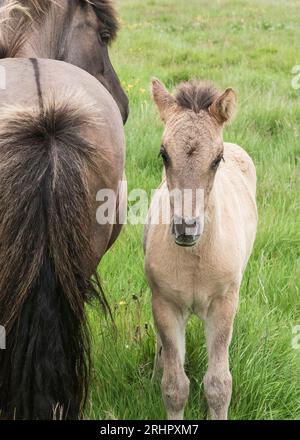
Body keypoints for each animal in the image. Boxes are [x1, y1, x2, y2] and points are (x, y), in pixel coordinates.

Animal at [144, 78, 256, 420]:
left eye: (216, 159)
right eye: (164, 154)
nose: (185, 228)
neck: (194, 259)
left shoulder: (222, 304)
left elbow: (218, 384)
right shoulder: (165, 304)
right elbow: (174, 386)